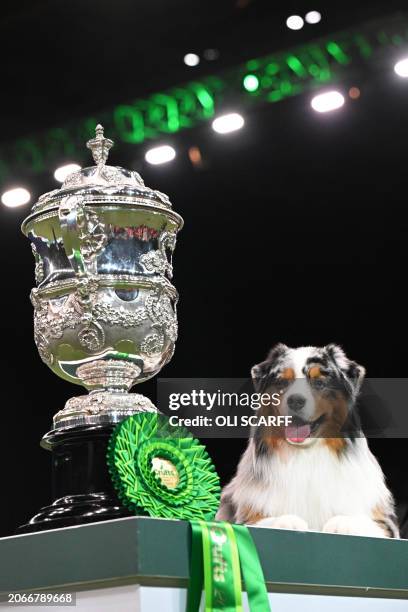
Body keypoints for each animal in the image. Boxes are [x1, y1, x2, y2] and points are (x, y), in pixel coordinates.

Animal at [217, 342, 398, 536]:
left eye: (319, 382)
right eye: (282, 382)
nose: (295, 401)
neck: (306, 454)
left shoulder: (385, 523)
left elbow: (363, 523)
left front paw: (342, 523)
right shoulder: (245, 514)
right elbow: (261, 521)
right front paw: (287, 521)